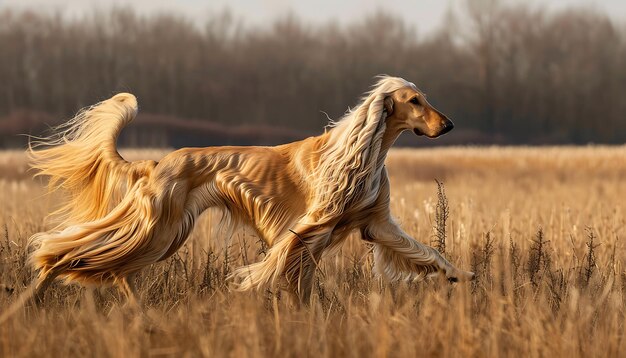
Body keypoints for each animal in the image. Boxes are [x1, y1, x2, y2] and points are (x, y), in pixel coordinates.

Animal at [15, 76, 472, 310]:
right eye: (414, 100)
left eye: (425, 98)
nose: (449, 125)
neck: (365, 151)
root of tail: (156, 163)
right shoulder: (308, 229)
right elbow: (291, 272)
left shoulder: (375, 225)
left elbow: (427, 253)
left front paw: (460, 275)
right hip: (156, 227)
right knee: (72, 254)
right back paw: (31, 295)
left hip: (161, 232)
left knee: (113, 269)